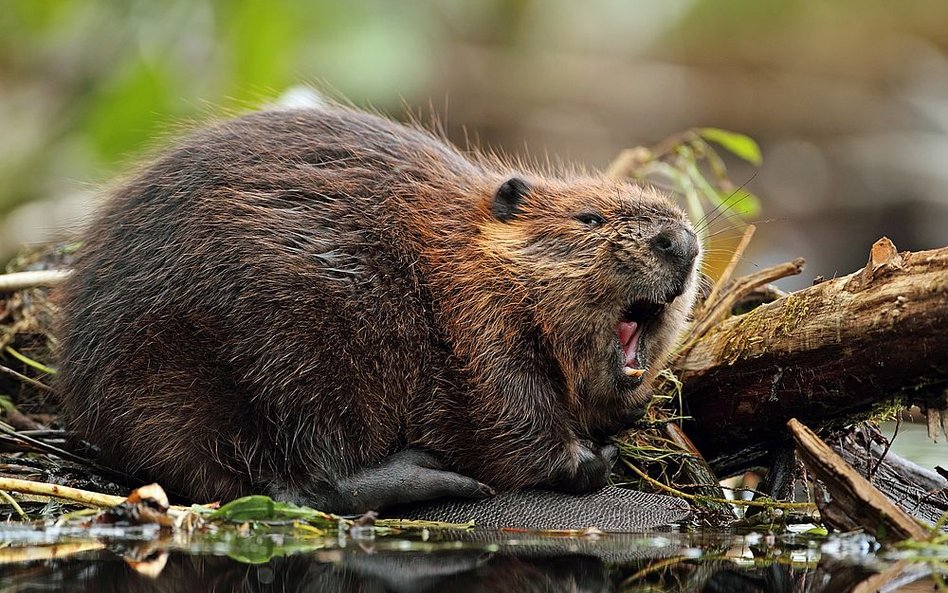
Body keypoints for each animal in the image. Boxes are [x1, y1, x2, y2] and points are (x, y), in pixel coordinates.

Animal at [57, 104, 696, 512]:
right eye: (589, 218)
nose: (683, 241)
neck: (459, 254)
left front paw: (625, 415)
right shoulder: (480, 328)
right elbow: (508, 416)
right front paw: (589, 458)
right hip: (288, 353)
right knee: (300, 482)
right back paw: (435, 476)